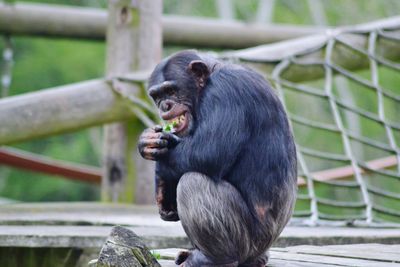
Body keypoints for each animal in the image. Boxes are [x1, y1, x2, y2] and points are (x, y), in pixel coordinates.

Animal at [138, 50, 296, 267]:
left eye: (171, 90)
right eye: (157, 95)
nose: (164, 105)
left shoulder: (227, 90)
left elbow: (208, 153)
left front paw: (159, 176)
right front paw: (147, 141)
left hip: (251, 243)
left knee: (192, 182)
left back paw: (211, 258)